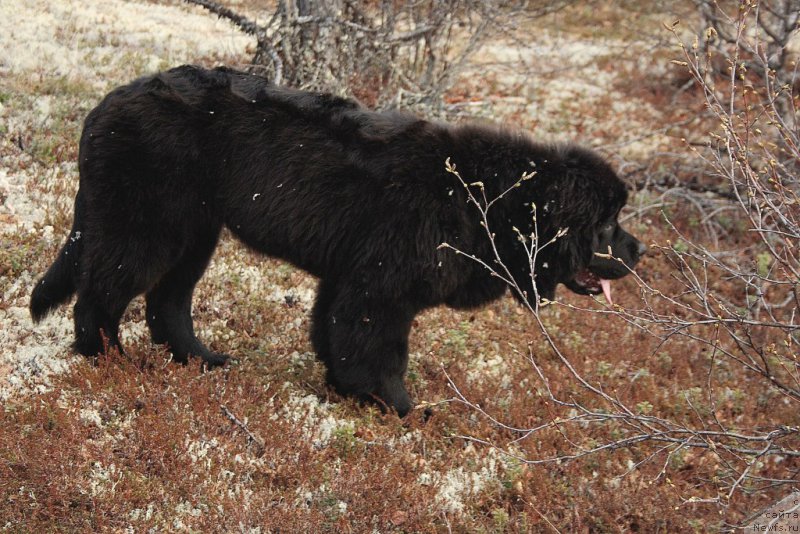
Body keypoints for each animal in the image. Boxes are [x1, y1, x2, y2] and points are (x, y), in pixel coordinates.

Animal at [29, 66, 644, 418]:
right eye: (607, 224)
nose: (641, 252)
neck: (482, 199)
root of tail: (108, 102)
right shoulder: (381, 287)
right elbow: (381, 351)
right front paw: (402, 409)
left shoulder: (350, 277)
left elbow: (335, 335)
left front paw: (348, 392)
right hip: (146, 224)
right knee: (101, 293)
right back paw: (108, 360)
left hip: (196, 230)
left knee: (166, 302)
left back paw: (200, 360)